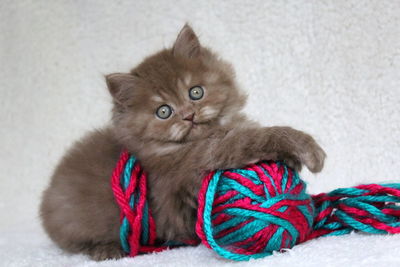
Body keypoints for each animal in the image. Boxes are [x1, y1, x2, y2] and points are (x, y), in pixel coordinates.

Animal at [39, 24, 324, 262]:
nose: (188, 115)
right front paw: (307, 149)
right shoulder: (195, 163)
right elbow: (250, 139)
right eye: (163, 111)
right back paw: (107, 250)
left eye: (195, 92)